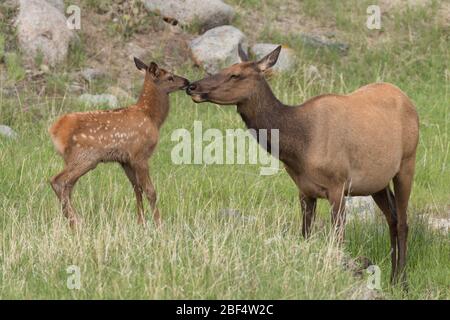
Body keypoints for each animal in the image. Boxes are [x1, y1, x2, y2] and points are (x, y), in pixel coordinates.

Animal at [48, 57, 189, 228]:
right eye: (169, 77)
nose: (187, 81)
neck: (152, 118)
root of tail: (56, 130)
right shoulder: (140, 155)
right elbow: (150, 191)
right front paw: (159, 224)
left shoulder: (125, 160)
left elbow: (137, 189)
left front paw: (141, 222)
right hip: (85, 157)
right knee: (58, 181)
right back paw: (76, 222)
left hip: (75, 159)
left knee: (67, 186)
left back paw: (73, 221)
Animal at [185, 45, 418, 284]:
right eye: (224, 68)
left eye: (235, 74)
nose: (192, 86)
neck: (300, 148)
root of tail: (407, 99)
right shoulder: (304, 189)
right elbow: (305, 234)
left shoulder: (338, 184)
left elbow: (338, 237)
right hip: (377, 182)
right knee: (392, 218)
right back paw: (392, 278)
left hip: (407, 162)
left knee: (403, 222)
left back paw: (402, 281)